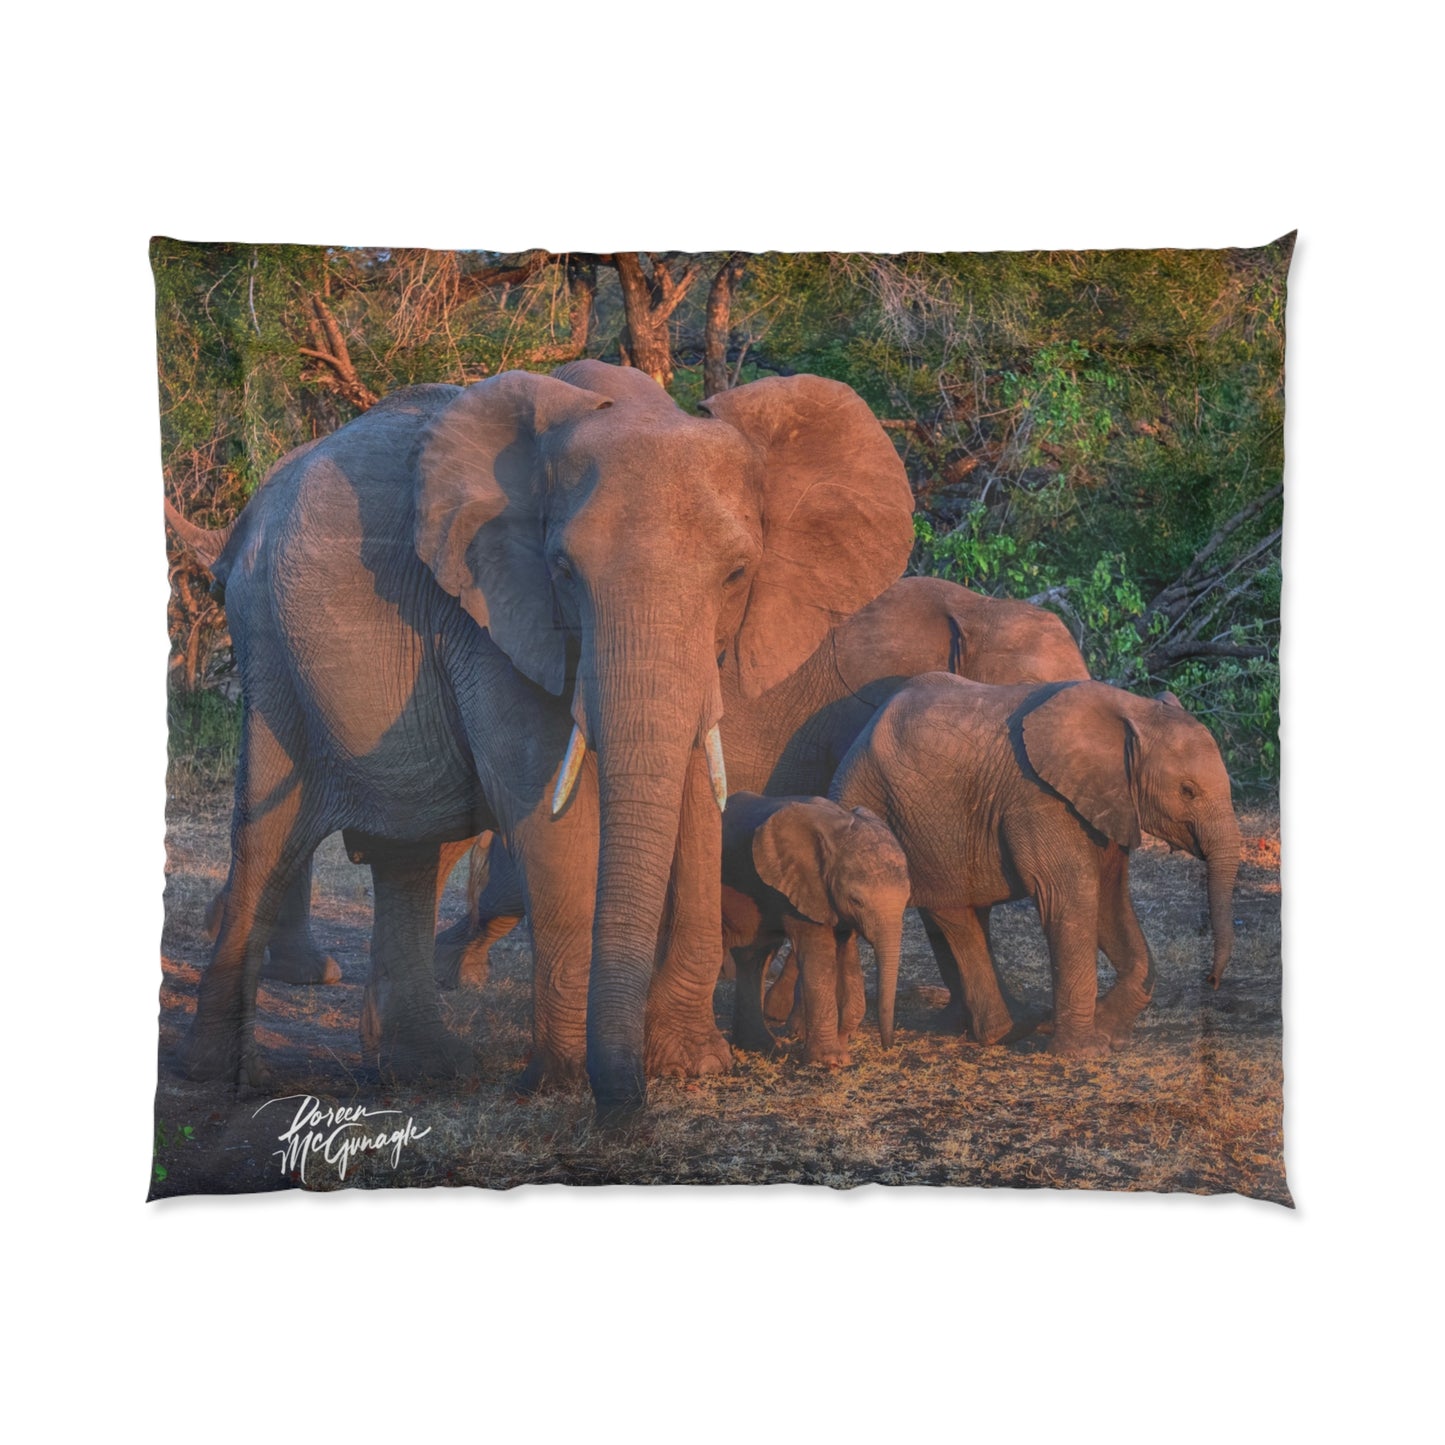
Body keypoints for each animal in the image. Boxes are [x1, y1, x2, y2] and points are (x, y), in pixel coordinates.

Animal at [720, 793, 910, 1066]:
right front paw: (831, 1060)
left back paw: (762, 1046)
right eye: (856, 901)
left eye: (907, 899)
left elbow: (847, 953)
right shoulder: (802, 887)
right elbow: (818, 953)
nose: (888, 1047)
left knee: (753, 957)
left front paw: (843, 1047)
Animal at [830, 675, 1241, 1056]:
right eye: (1188, 791)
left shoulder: (1109, 802)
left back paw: (1010, 1026)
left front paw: (1110, 1035)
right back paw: (1007, 1031)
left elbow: (1111, 899)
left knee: (957, 914)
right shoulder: (1041, 798)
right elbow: (1071, 897)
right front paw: (1083, 1053)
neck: (1132, 709)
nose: (1211, 980)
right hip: (892, 811)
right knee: (951, 911)